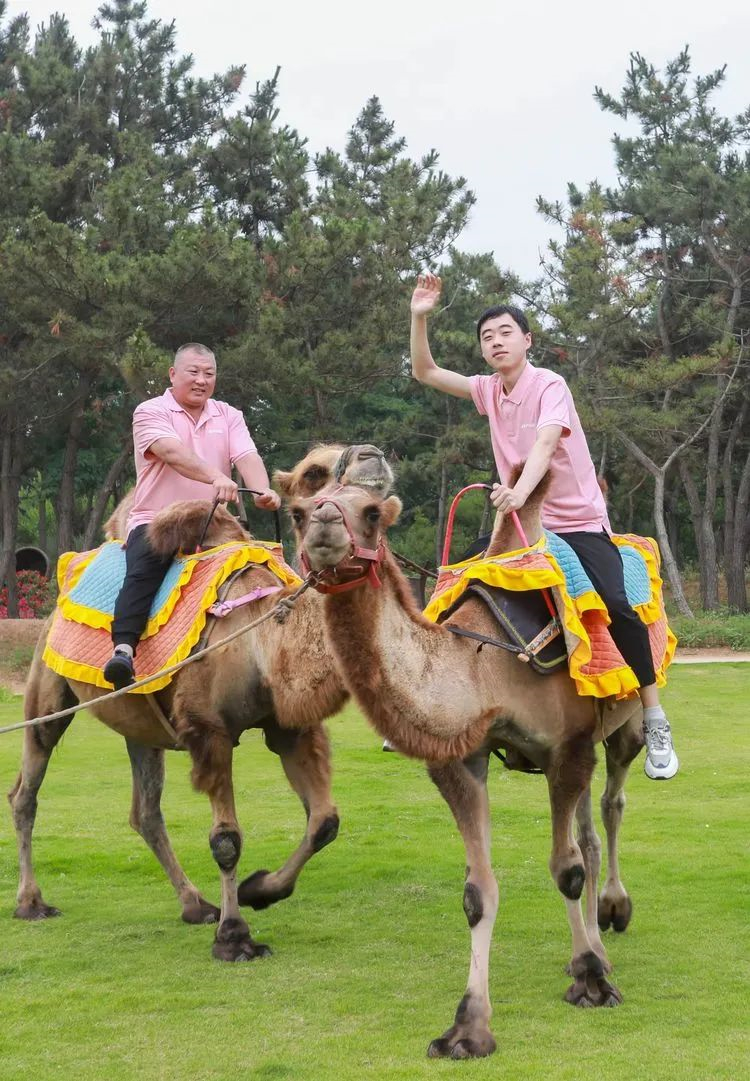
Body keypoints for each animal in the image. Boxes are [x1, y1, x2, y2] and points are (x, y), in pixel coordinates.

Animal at [9, 443, 393, 963]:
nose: (374, 456)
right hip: (46, 692)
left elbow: (324, 821)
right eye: (314, 473)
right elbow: (226, 840)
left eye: (374, 512)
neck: (257, 640)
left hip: (141, 724)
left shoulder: (290, 729)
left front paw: (259, 891)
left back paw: (194, 904)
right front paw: (235, 937)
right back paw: (31, 902)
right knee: (26, 790)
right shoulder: (210, 730)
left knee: (145, 811)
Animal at [290, 474, 647, 1059]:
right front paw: (468, 1029)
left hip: (623, 725)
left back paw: (614, 912)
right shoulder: (462, 760)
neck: (482, 670)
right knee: (588, 832)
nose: (322, 524)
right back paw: (592, 944)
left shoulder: (565, 747)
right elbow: (479, 892)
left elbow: (565, 869)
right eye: (297, 512)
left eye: (371, 512)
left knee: (612, 801)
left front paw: (592, 983)